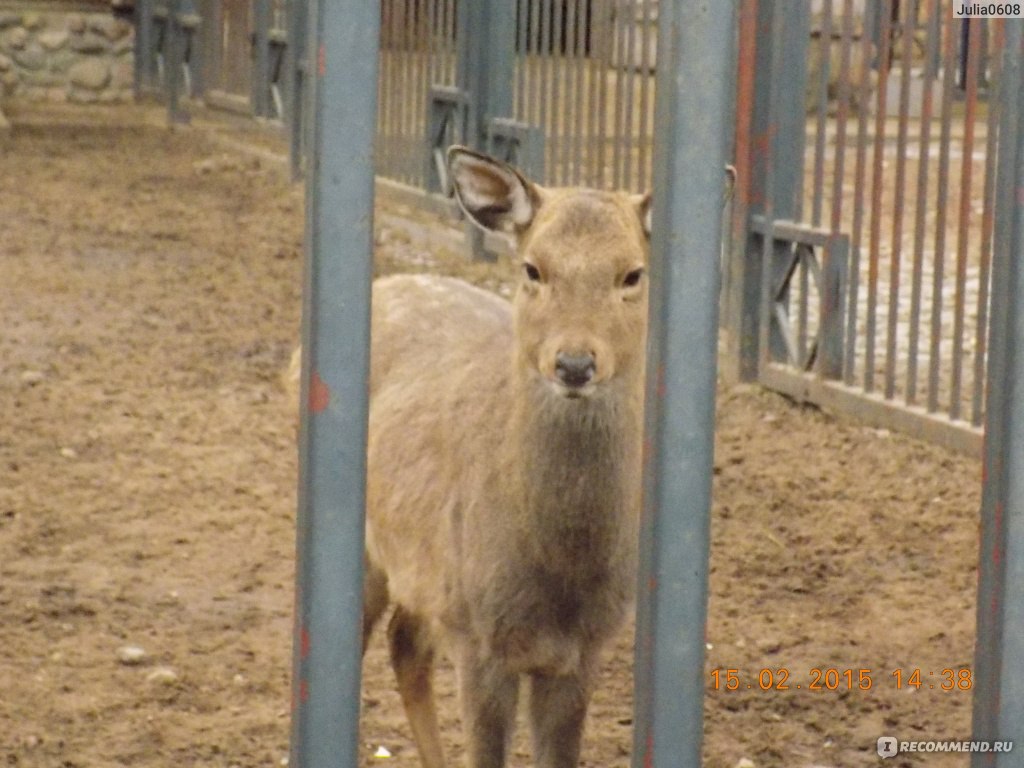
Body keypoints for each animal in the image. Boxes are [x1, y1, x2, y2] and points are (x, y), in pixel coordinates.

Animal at [288, 145, 651, 768]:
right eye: (532, 268)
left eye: (632, 274)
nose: (574, 363)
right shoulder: (477, 634)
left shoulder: (587, 648)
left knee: (405, 644)